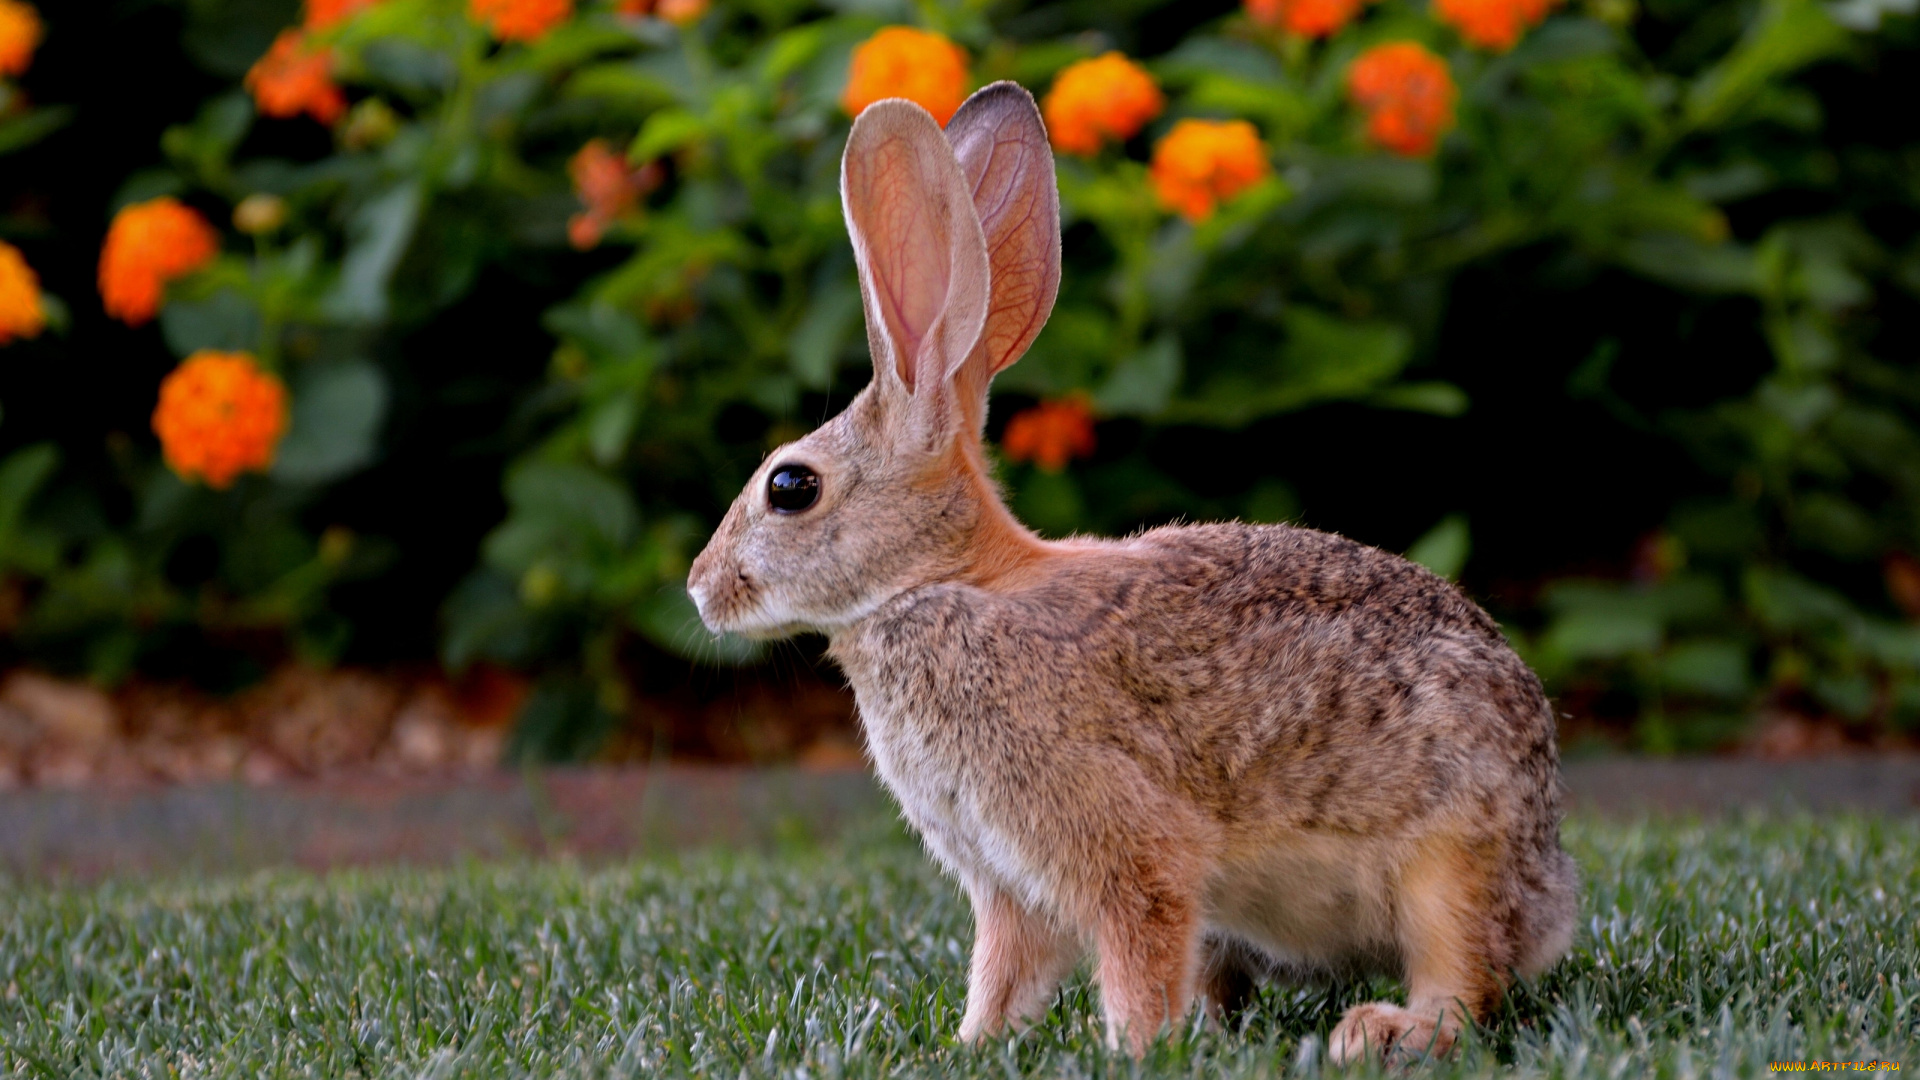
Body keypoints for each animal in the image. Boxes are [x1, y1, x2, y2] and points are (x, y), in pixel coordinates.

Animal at [691, 84, 1574, 1060]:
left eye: (791, 487)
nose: (699, 588)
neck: (943, 584)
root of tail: (1550, 891)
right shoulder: (1006, 881)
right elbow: (1005, 968)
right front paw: (974, 1044)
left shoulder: (1115, 840)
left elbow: (1135, 940)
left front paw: (1133, 1049)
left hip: (1449, 860)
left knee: (1465, 982)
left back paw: (1381, 1033)